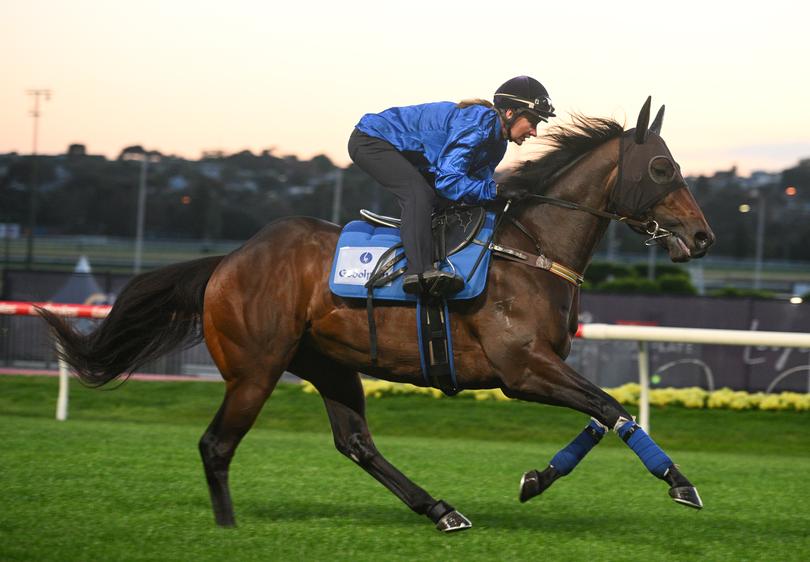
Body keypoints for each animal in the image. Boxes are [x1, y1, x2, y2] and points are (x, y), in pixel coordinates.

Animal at [42, 98, 712, 532]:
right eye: (662, 168)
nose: (702, 236)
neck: (532, 248)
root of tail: (229, 260)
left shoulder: (541, 367)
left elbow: (603, 415)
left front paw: (536, 479)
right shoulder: (522, 370)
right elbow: (611, 407)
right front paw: (680, 481)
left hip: (330, 363)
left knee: (356, 442)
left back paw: (440, 510)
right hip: (255, 368)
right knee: (216, 443)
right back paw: (228, 528)